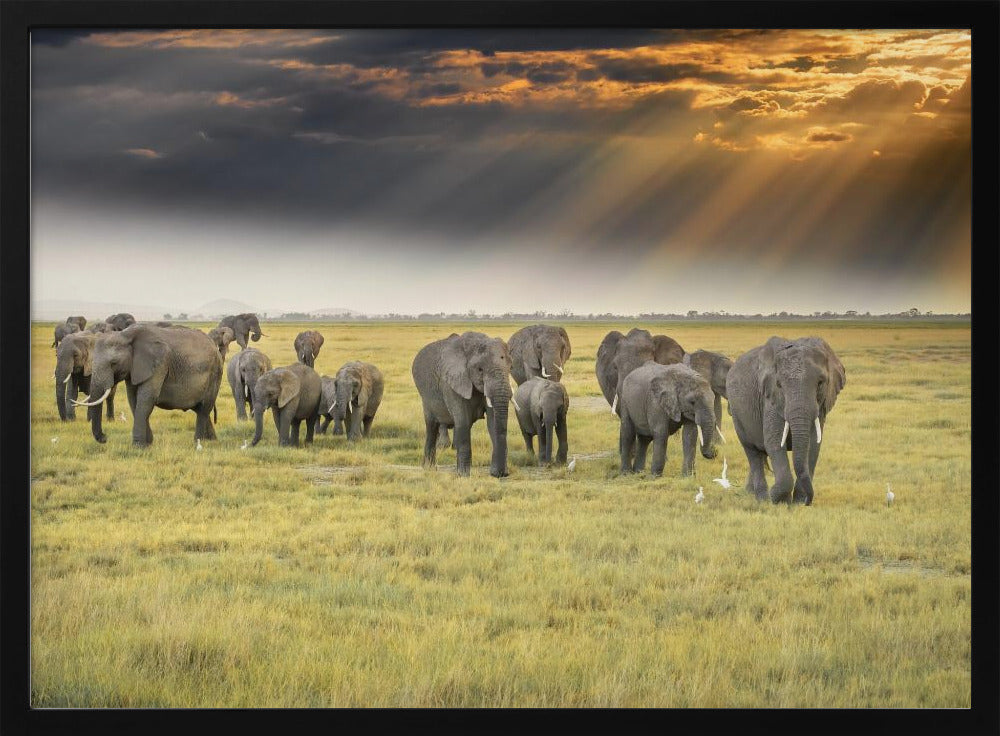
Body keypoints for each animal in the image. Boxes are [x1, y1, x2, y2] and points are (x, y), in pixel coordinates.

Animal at [71, 323, 223, 447]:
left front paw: (138, 446)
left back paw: (198, 442)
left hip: (215, 373)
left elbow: (146, 399)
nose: (105, 438)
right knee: (201, 409)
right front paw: (148, 443)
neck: (125, 335)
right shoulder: (133, 369)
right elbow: (133, 400)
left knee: (204, 409)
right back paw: (211, 441)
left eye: (114, 363)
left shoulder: (159, 364)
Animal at [412, 331, 513, 477]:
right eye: (480, 369)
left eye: (510, 367)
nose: (502, 474)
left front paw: (497, 473)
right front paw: (463, 475)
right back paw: (428, 469)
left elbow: (493, 422)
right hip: (425, 398)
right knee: (431, 426)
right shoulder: (451, 382)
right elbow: (463, 420)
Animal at [726, 336, 846, 505]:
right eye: (779, 385)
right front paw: (779, 500)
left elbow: (814, 445)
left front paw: (799, 503)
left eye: (820, 383)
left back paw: (752, 494)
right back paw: (762, 499)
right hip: (737, 414)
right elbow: (775, 443)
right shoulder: (770, 400)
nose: (808, 500)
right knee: (753, 452)